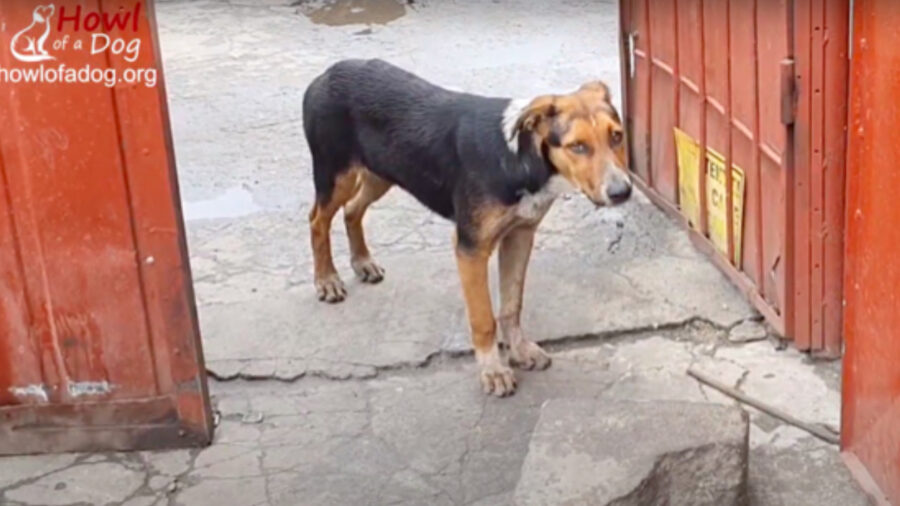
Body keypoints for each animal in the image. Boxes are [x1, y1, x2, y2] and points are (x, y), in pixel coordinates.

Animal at [306, 59, 628, 398]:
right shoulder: (471, 248)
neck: (519, 160)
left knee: (352, 210)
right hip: (335, 174)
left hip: (381, 173)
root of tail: (329, 72)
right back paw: (327, 280)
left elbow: (511, 305)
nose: (622, 192)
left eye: (617, 136)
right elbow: (483, 317)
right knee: (317, 220)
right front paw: (493, 370)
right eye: (577, 146)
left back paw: (363, 262)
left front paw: (519, 350)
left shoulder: (520, 235)